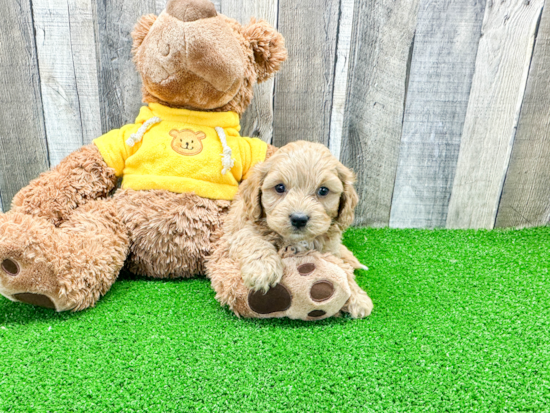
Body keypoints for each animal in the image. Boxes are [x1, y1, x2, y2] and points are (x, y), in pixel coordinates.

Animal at [216, 140, 376, 318]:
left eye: (323, 190)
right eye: (279, 187)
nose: (299, 219)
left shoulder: (329, 248)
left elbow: (342, 267)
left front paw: (357, 297)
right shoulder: (239, 228)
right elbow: (253, 241)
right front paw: (263, 270)